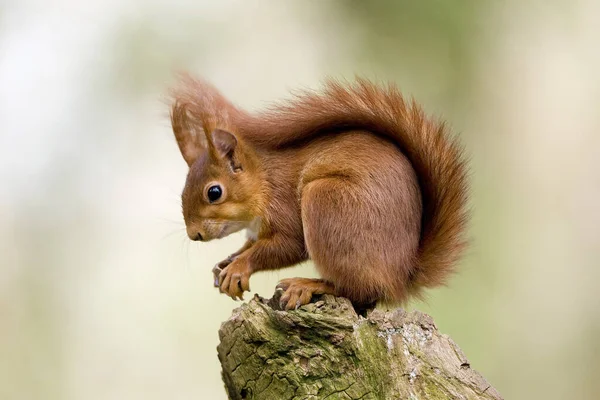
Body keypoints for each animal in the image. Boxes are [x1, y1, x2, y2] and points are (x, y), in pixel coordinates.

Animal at [169, 76, 468, 310]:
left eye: (214, 192)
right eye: (182, 191)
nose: (194, 235)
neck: (264, 181)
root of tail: (401, 278)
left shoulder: (284, 205)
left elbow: (286, 246)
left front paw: (238, 267)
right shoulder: (255, 230)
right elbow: (249, 245)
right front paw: (225, 263)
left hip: (326, 201)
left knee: (360, 291)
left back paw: (309, 285)